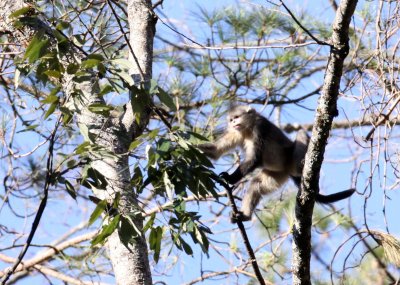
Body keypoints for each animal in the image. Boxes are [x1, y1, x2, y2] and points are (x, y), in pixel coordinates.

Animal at [198, 104, 354, 222]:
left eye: (236, 117)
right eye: (230, 120)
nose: (233, 123)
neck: (247, 130)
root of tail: (289, 170)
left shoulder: (260, 127)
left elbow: (255, 158)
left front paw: (229, 178)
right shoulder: (235, 132)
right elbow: (216, 151)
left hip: (290, 160)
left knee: (300, 133)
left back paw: (303, 165)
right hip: (278, 174)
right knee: (256, 184)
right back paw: (245, 216)